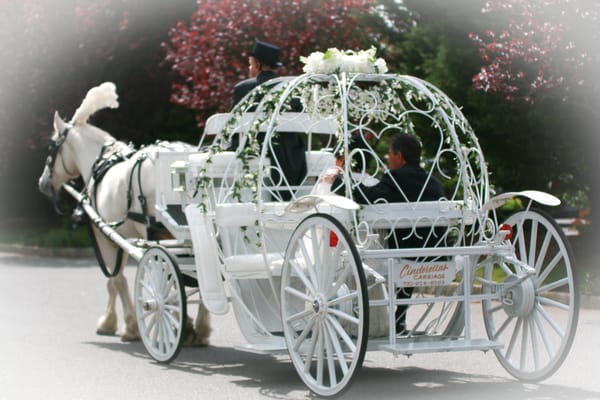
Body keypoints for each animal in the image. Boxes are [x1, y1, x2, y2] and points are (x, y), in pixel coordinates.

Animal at [37, 83, 211, 346]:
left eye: (51, 146)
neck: (101, 162)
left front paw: (124, 326)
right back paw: (200, 328)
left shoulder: (104, 236)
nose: (43, 183)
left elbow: (116, 281)